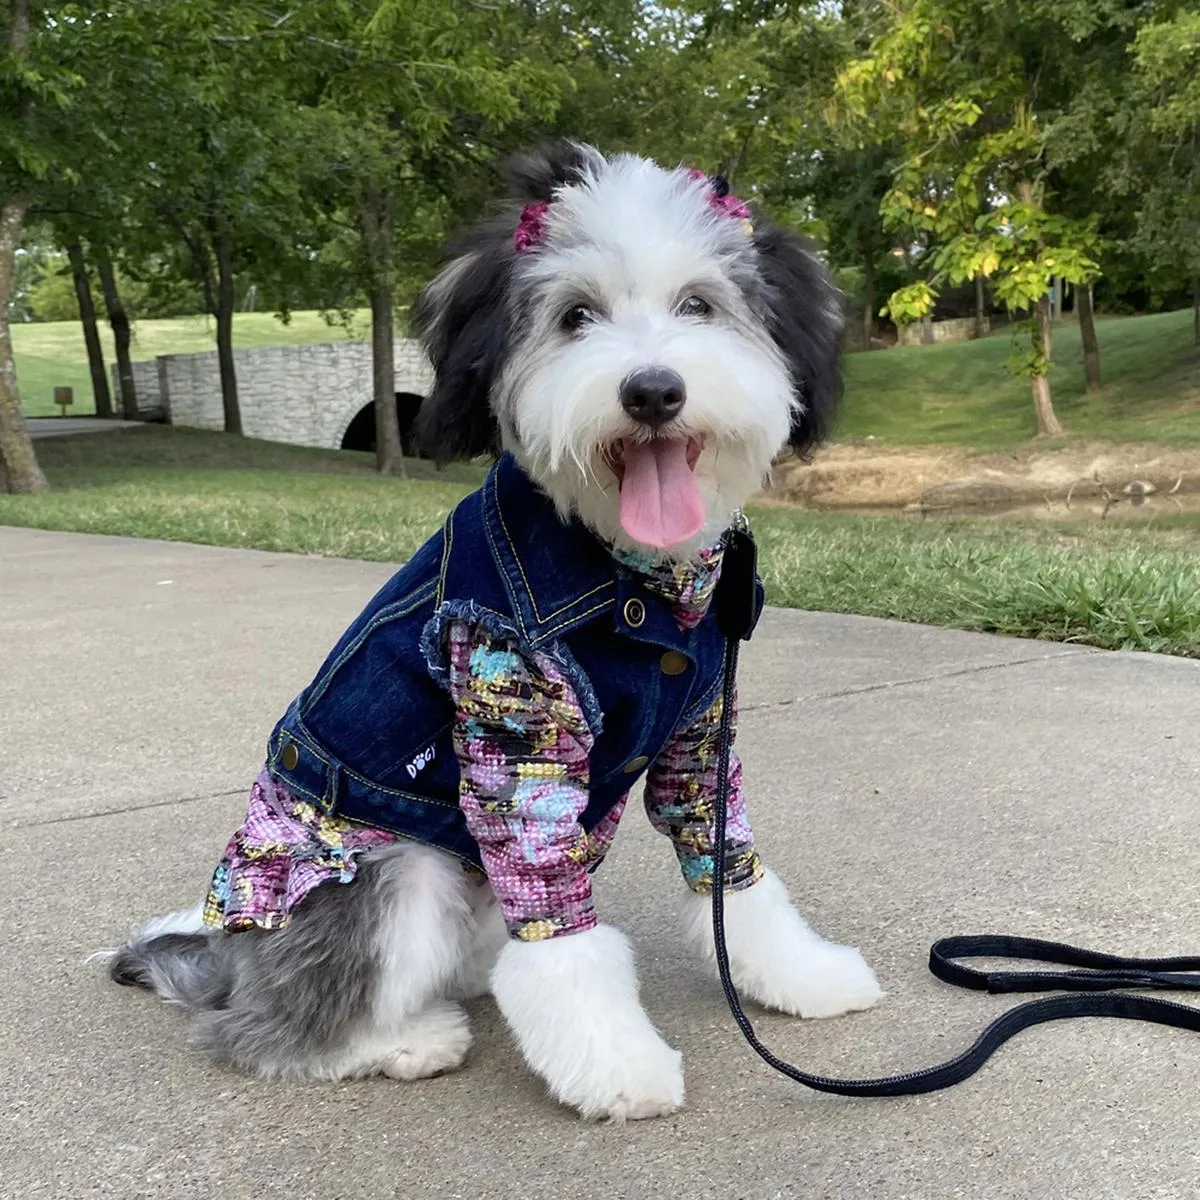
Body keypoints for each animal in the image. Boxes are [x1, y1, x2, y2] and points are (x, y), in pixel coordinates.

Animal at [108, 145, 883, 1118]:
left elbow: (731, 873)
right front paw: (617, 1064)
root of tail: (230, 959)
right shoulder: (512, 727)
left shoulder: (702, 733)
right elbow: (561, 935)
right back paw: (405, 1041)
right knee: (262, 1031)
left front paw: (804, 975)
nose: (652, 390)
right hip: (390, 876)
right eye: (576, 316)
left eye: (699, 306)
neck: (633, 571)